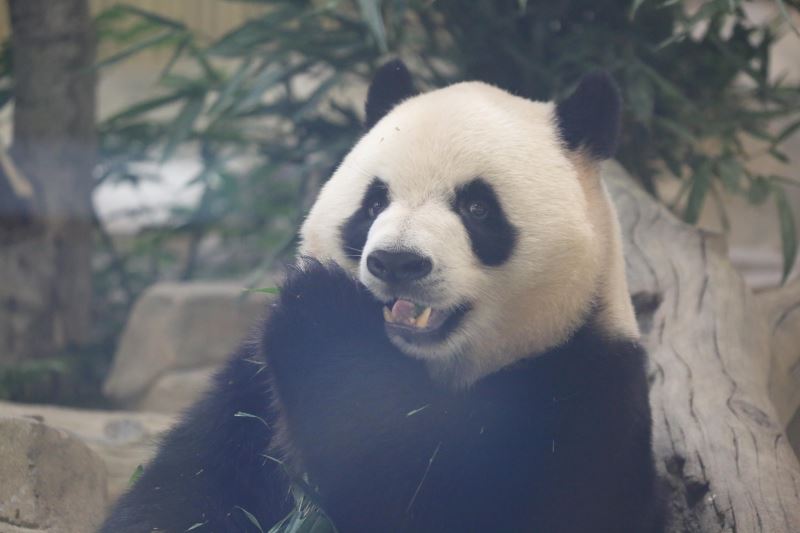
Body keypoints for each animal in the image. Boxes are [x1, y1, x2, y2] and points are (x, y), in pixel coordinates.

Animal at [100, 60, 665, 533]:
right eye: (373, 203)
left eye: (478, 208)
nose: (397, 262)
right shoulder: (248, 398)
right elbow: (185, 491)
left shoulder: (581, 402)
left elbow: (425, 494)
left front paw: (322, 311)